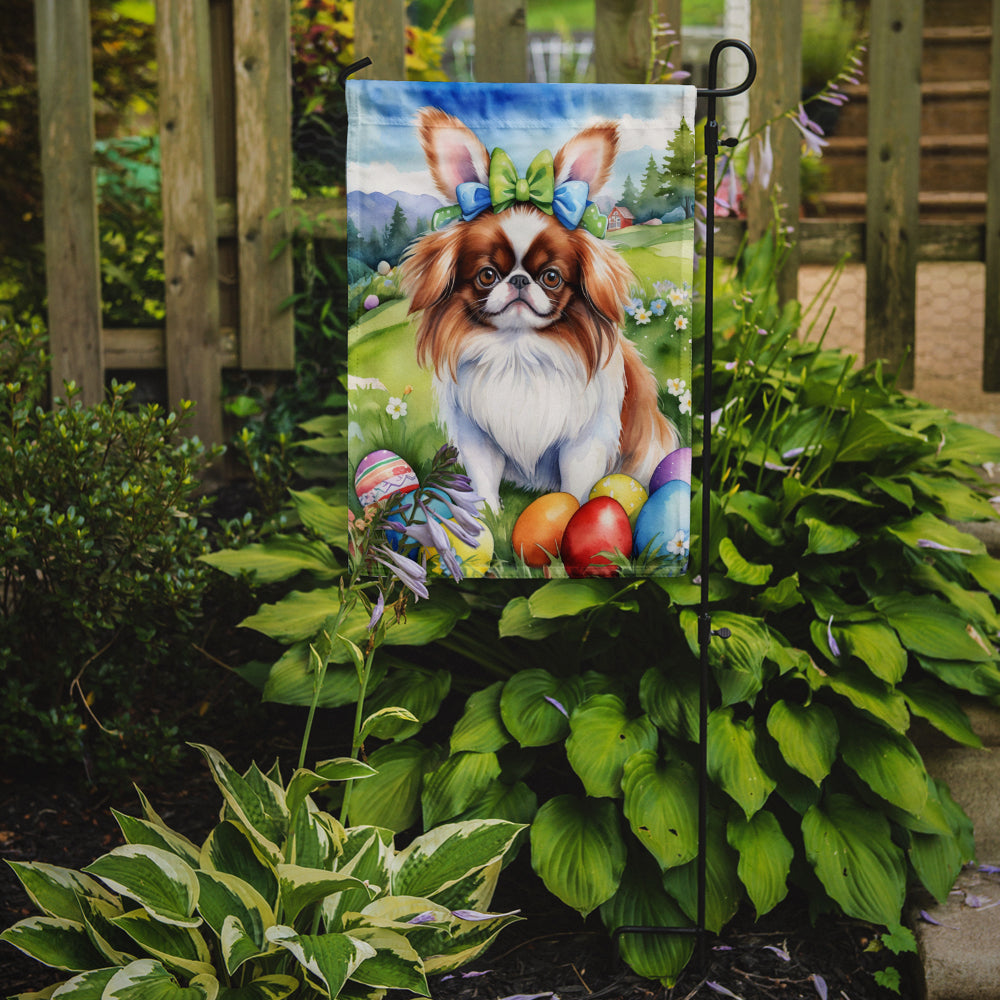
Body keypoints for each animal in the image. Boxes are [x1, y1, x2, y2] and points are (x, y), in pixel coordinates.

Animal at [400, 108, 680, 512]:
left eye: (551, 277)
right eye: (487, 275)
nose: (518, 281)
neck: (518, 351)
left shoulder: (584, 442)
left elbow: (577, 486)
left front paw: (570, 518)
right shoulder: (478, 437)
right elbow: (484, 480)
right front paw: (486, 517)